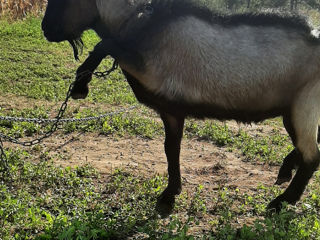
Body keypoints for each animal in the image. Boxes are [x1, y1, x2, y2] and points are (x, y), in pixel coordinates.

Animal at [41, 0, 320, 216]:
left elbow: (105, 45)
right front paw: (170, 194)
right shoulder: (172, 110)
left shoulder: (149, 68)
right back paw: (285, 170)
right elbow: (171, 149)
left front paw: (80, 85)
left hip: (304, 107)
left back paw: (281, 202)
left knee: (311, 156)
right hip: (294, 111)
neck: (142, 24)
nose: (45, 29)